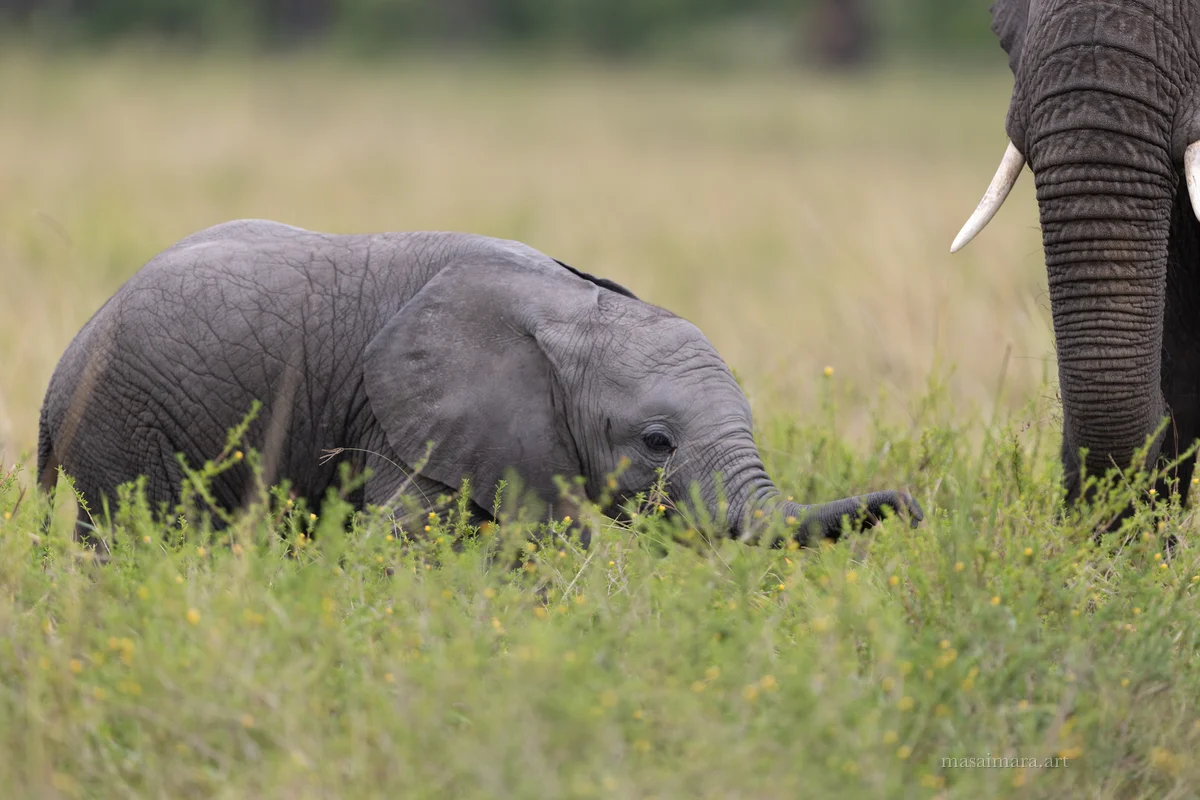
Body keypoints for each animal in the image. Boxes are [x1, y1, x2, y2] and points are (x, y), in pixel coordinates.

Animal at [36, 219, 922, 548]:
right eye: (657, 442)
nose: (915, 508)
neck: (573, 309)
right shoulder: (404, 422)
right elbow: (408, 544)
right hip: (123, 425)